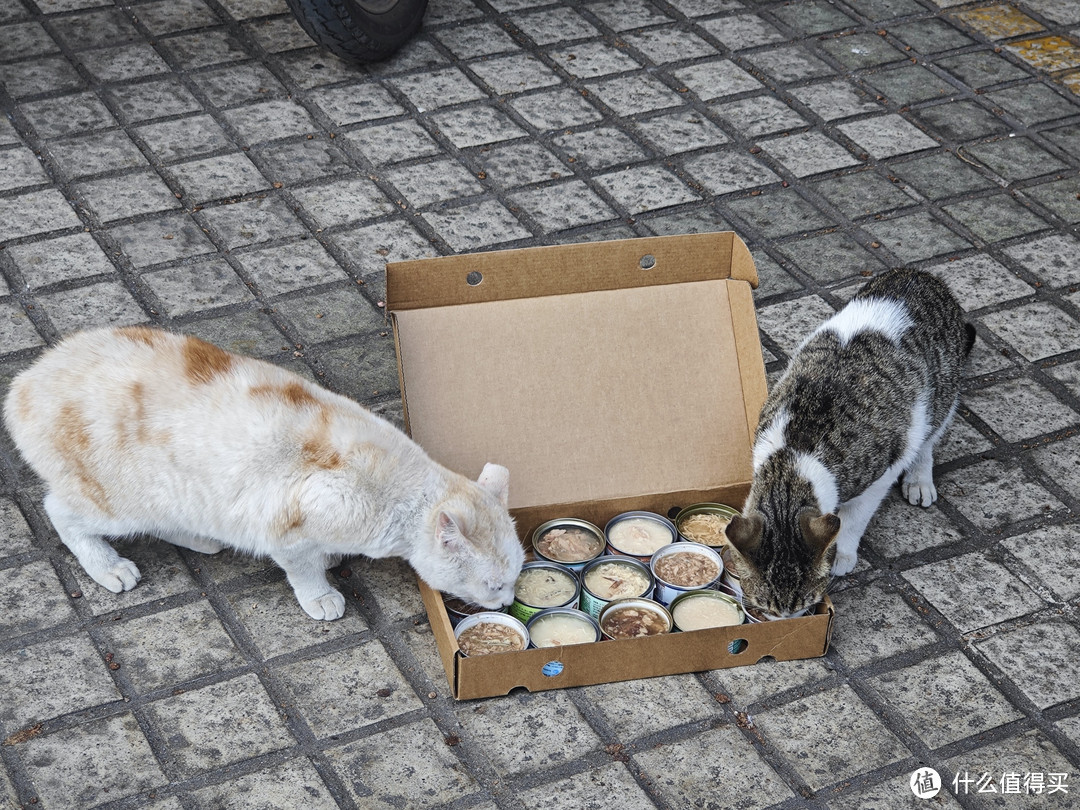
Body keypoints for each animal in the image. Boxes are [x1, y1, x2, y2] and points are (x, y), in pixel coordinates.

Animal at [0, 326, 522, 617]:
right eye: (495, 585)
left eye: (516, 578)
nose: (506, 603)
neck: (402, 497)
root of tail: (25, 381)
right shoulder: (289, 530)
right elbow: (303, 569)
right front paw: (321, 594)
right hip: (120, 502)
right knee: (60, 512)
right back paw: (108, 566)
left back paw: (201, 538)